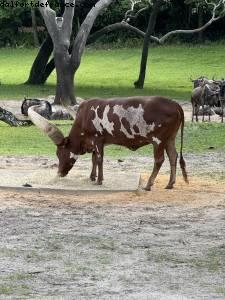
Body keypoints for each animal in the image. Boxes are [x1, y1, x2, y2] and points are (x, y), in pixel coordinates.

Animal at [28, 96, 190, 190]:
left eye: (60, 153)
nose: (60, 173)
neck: (84, 117)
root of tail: (176, 105)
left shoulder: (98, 139)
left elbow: (99, 159)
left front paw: (99, 181)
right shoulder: (96, 142)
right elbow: (94, 159)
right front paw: (92, 177)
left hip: (158, 140)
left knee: (159, 160)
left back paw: (149, 185)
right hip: (170, 139)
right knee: (173, 156)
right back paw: (170, 184)